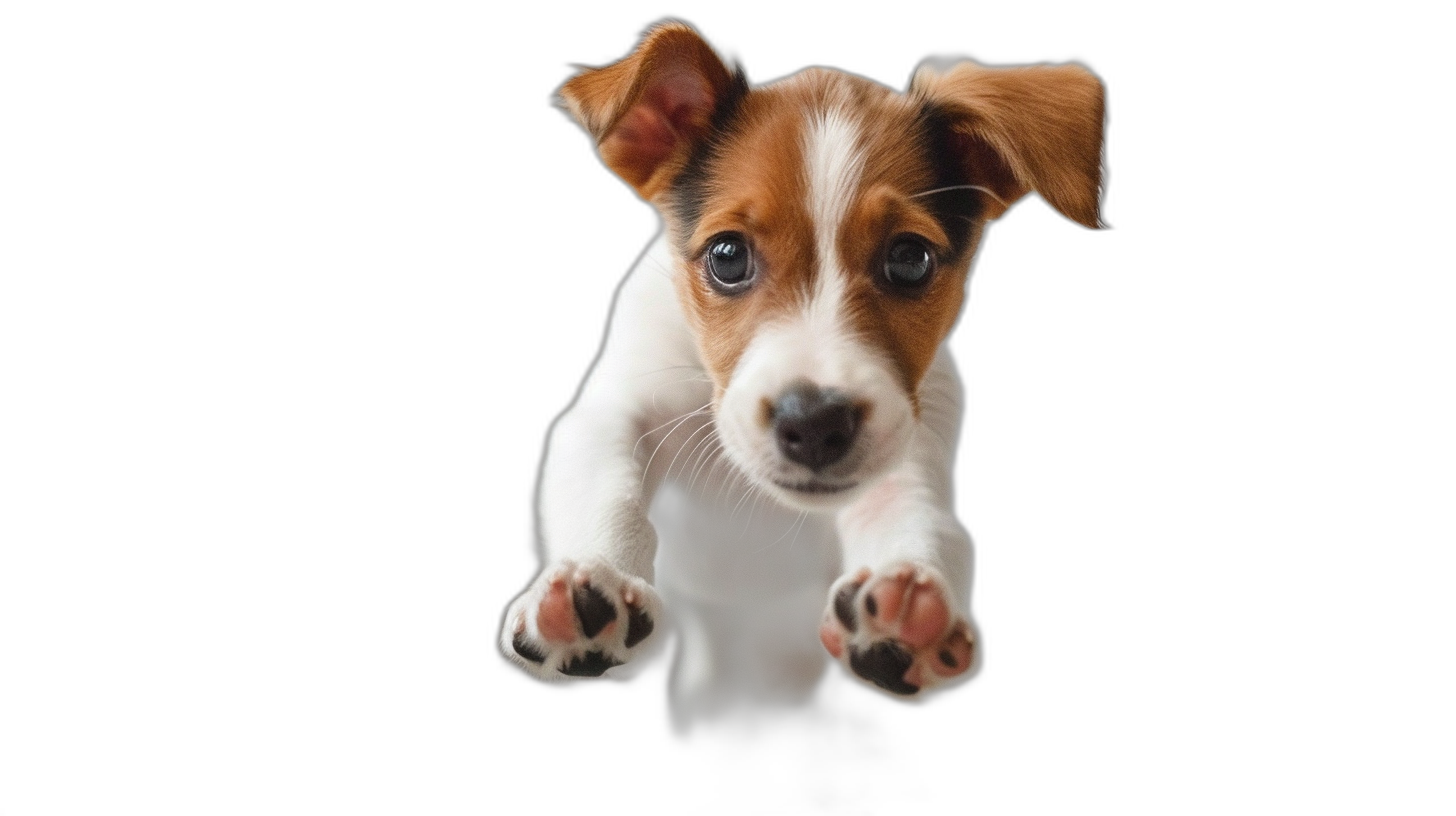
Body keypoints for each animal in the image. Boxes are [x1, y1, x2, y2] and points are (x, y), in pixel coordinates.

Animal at [497, 20, 1100, 734]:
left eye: (910, 259)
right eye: (728, 256)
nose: (813, 424)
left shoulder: (906, 443)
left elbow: (917, 518)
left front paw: (903, 616)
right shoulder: (612, 411)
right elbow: (609, 490)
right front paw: (591, 582)